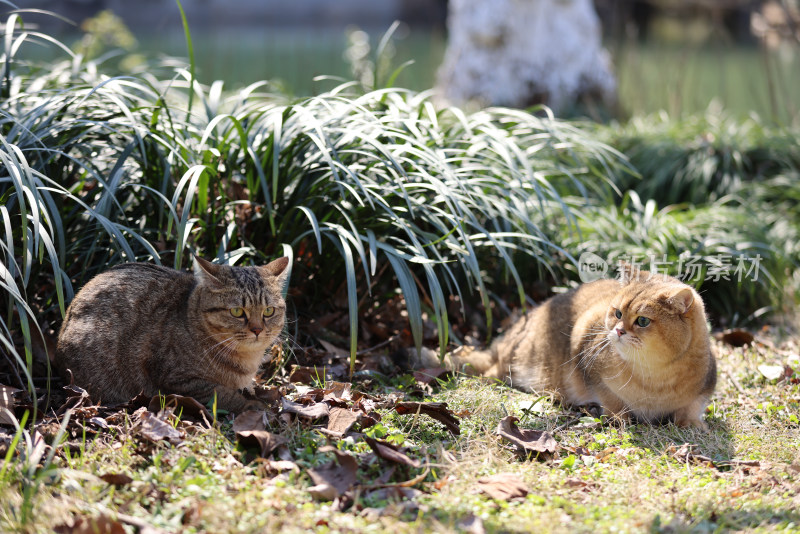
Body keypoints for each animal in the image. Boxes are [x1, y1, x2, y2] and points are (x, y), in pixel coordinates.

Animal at [54, 258, 290, 412]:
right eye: (237, 312)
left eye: (268, 311)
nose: (257, 329)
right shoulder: (181, 381)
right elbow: (222, 394)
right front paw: (254, 404)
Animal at [438, 268, 720, 432]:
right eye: (617, 313)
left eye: (642, 321)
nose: (618, 331)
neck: (654, 375)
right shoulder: (589, 363)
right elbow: (612, 400)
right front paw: (619, 418)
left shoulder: (705, 385)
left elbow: (692, 405)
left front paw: (691, 423)